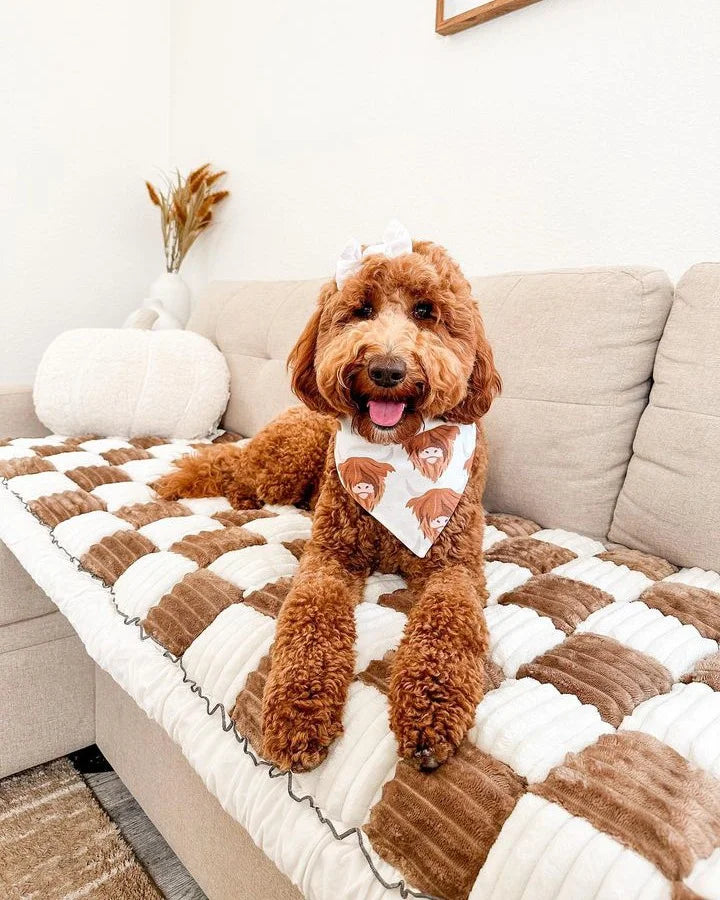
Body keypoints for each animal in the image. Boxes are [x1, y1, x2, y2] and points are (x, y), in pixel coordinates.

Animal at [153, 239, 500, 772]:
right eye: (362, 310)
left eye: (426, 311)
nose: (386, 370)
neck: (395, 457)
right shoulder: (330, 556)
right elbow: (310, 617)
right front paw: (298, 710)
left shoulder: (454, 564)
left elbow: (448, 621)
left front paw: (429, 708)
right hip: (287, 458)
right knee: (232, 467)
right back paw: (229, 491)